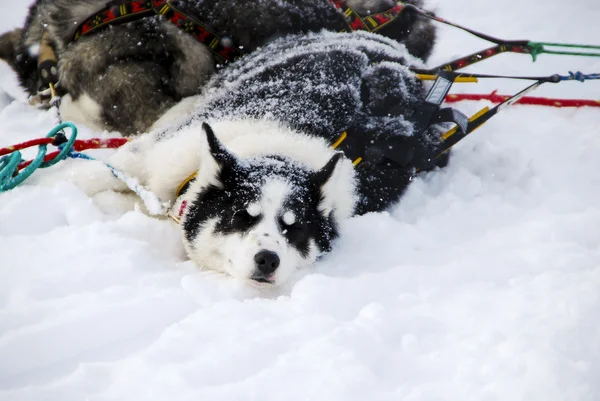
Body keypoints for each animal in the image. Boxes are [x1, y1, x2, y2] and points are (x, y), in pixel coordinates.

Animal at [62, 32, 446, 288]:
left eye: (294, 228)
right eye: (242, 216)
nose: (267, 259)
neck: (279, 153)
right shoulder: (155, 153)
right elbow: (90, 177)